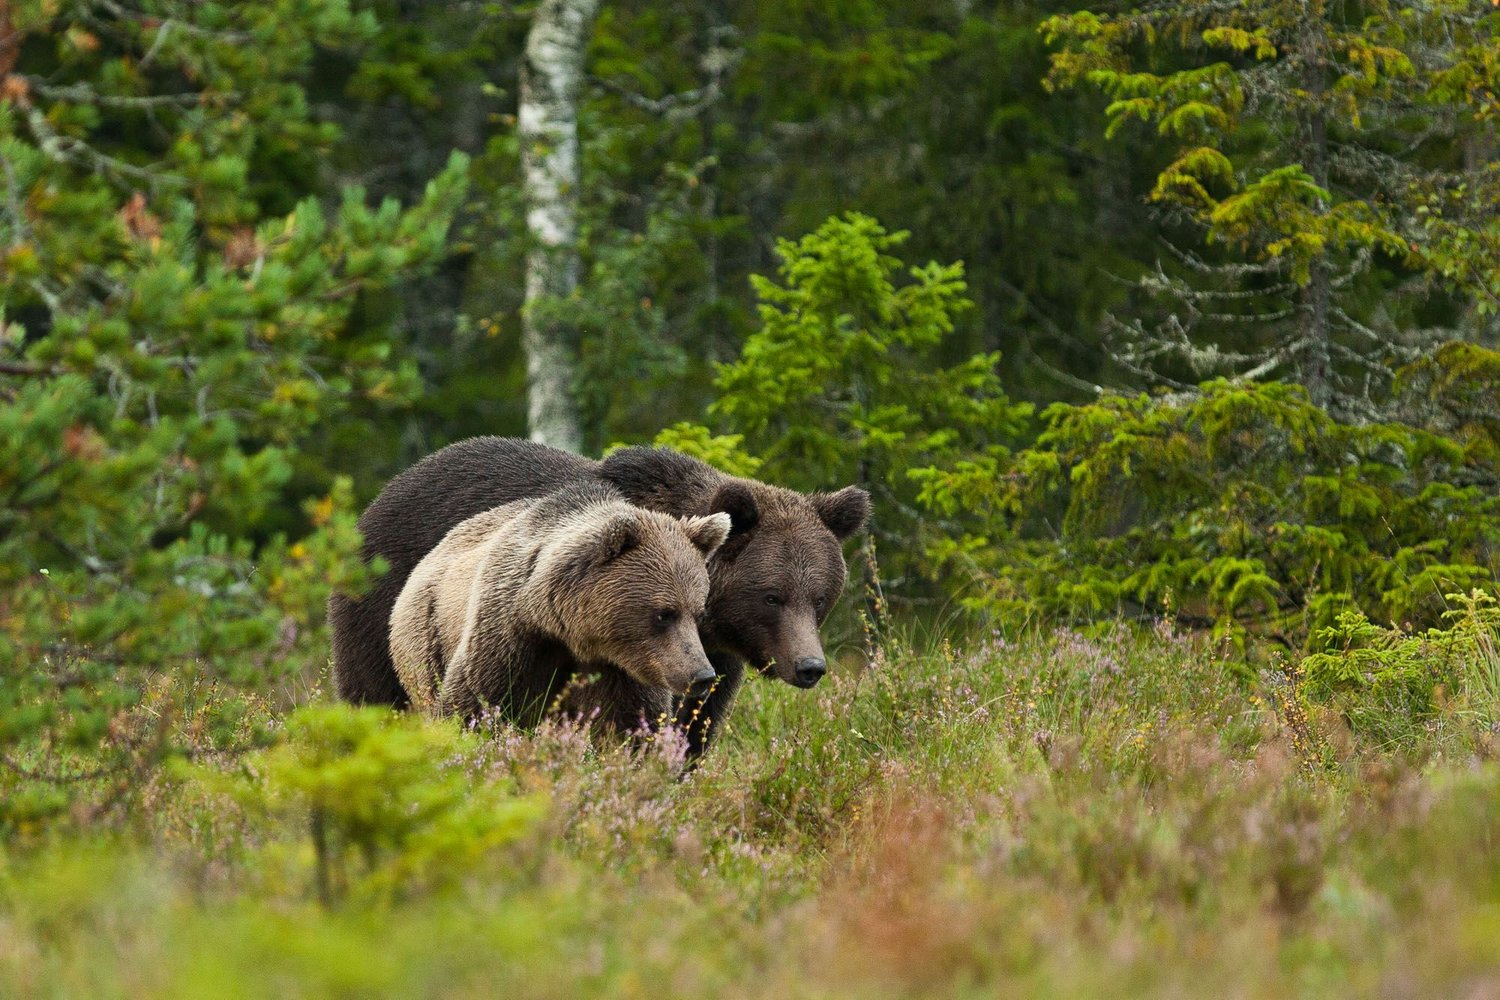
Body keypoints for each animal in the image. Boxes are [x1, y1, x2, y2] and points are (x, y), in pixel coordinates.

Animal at [393, 479, 732, 731]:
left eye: (698, 612)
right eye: (664, 614)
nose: (702, 675)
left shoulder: (623, 668)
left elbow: (632, 722)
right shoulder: (509, 633)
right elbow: (472, 701)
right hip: (426, 632)